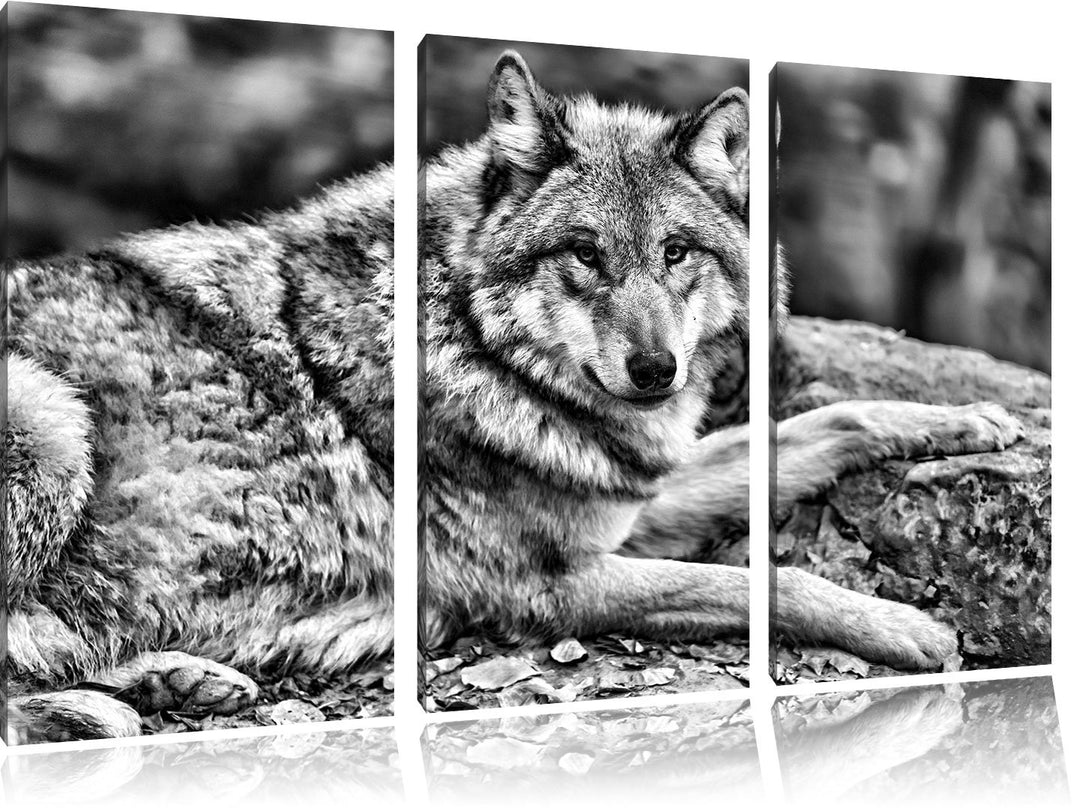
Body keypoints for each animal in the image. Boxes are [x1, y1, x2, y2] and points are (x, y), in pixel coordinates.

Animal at [420, 52, 1023, 682]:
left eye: (675, 252)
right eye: (585, 254)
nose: (655, 369)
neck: (476, 347)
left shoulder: (631, 501)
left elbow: (832, 419)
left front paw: (964, 418)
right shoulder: (543, 588)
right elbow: (770, 581)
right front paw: (902, 626)